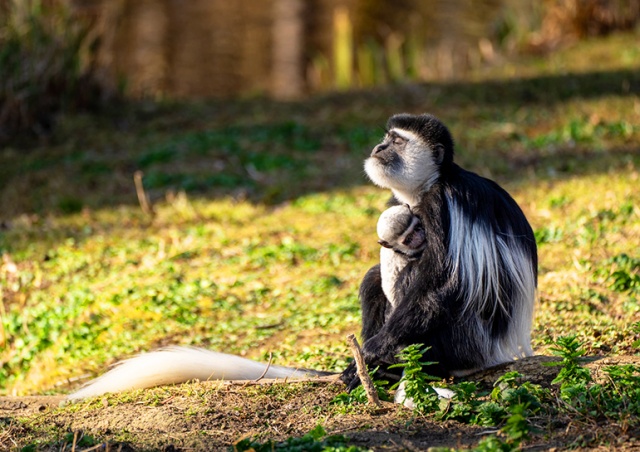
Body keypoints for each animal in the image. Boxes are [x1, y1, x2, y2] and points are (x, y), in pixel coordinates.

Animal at [342, 112, 536, 388]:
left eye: (397, 141)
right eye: (387, 138)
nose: (379, 148)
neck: (429, 184)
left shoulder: (441, 203)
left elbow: (448, 283)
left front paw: (372, 351)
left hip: (465, 341)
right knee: (374, 277)